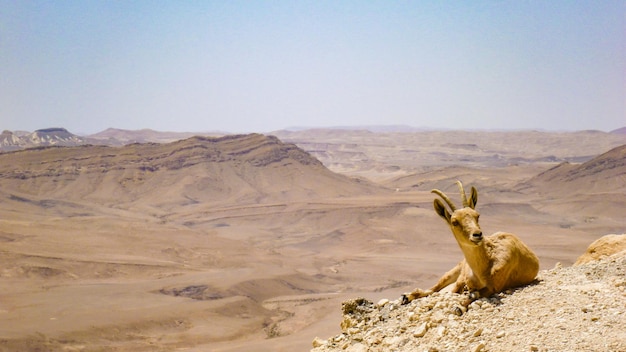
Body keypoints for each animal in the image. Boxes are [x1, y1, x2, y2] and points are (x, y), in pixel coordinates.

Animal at [402, 182, 540, 306]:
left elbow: (474, 294)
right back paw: (407, 297)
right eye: (454, 222)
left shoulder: (495, 285)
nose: (477, 234)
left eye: (477, 216)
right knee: (434, 288)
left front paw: (460, 306)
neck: (483, 267)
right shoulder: (462, 278)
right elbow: (451, 291)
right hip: (456, 269)